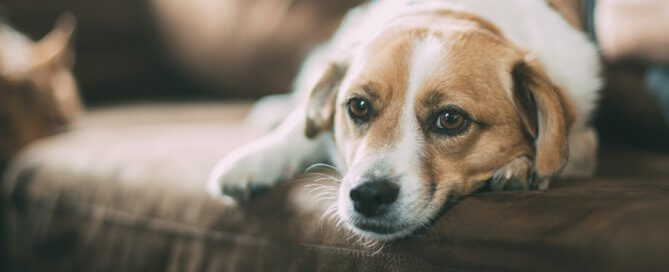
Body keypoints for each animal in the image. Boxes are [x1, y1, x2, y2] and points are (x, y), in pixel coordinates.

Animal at [206, 1, 596, 241]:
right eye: (359, 106)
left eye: (450, 119)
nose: (368, 195)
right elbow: (300, 129)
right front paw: (255, 160)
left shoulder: (583, 136)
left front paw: (518, 168)